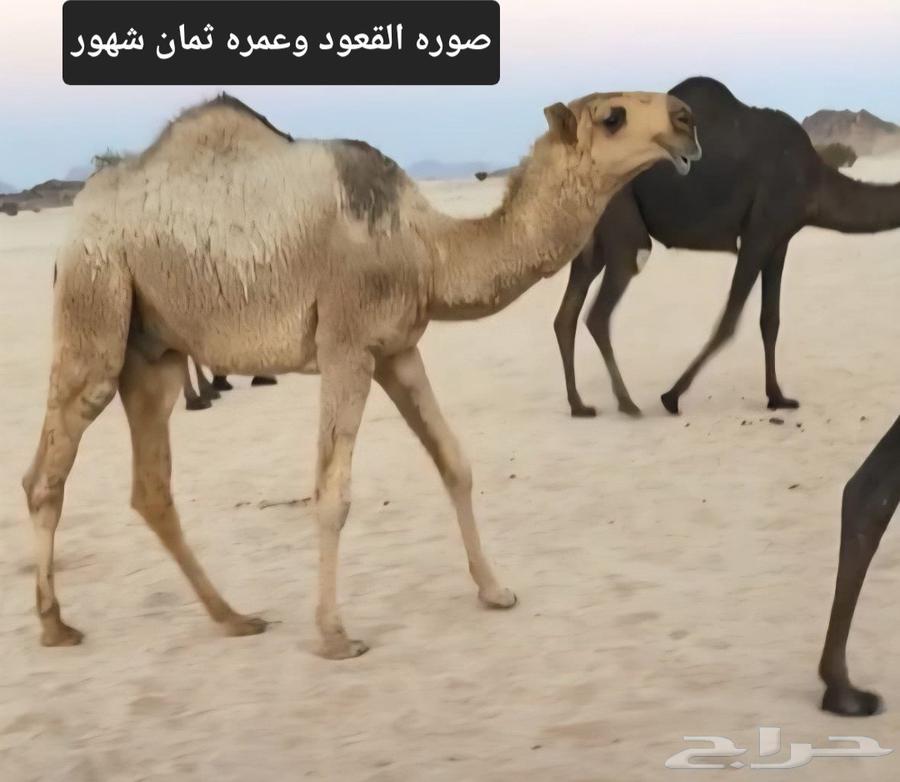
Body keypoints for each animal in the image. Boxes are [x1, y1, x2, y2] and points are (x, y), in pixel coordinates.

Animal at [22, 91, 699, 658]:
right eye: (612, 115)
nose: (687, 119)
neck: (427, 249)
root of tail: (78, 216)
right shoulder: (346, 344)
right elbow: (332, 493)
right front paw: (334, 635)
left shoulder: (397, 348)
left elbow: (454, 462)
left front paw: (495, 591)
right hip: (95, 296)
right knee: (47, 472)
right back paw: (55, 624)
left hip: (154, 350)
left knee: (151, 487)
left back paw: (233, 617)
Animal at [554, 76, 900, 417]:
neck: (812, 179)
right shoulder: (759, 233)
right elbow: (729, 321)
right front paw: (671, 396)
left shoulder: (780, 241)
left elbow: (770, 320)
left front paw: (777, 397)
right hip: (622, 224)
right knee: (599, 311)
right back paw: (627, 403)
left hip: (592, 243)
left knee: (565, 316)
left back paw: (579, 405)